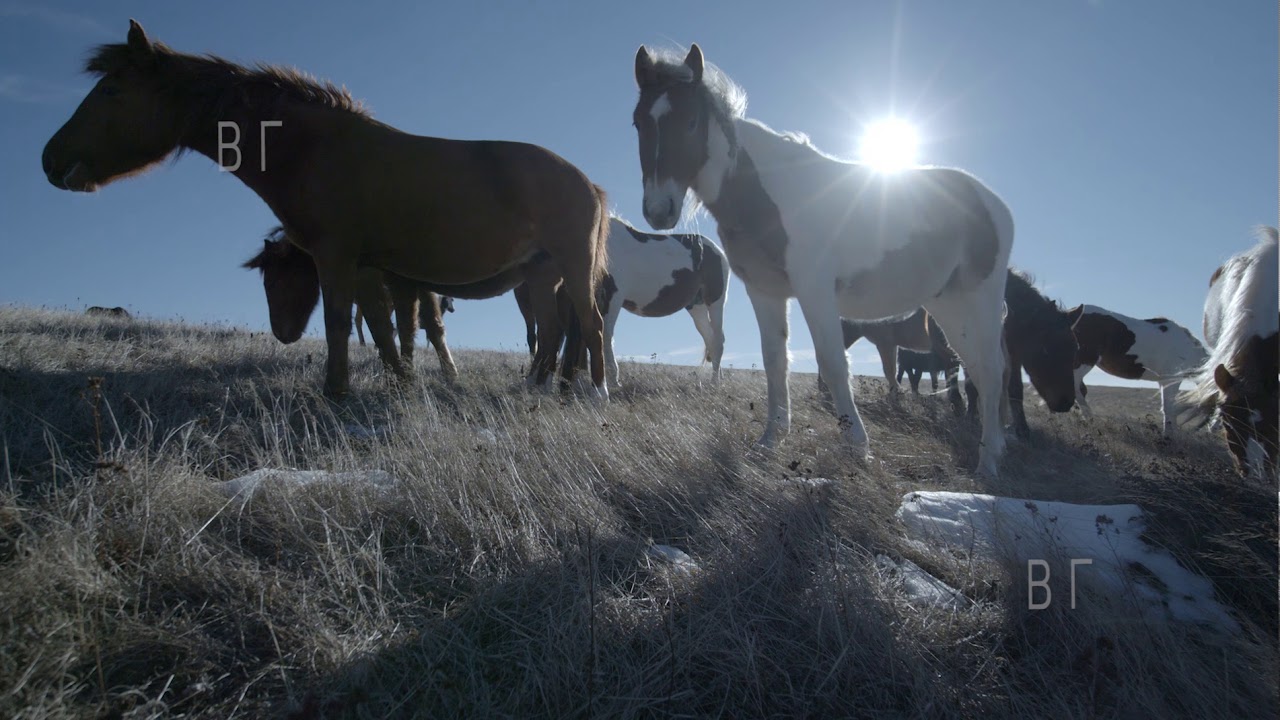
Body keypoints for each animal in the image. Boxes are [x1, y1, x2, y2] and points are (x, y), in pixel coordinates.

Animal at [634, 45, 1014, 476]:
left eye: (692, 121)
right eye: (638, 123)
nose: (659, 211)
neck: (765, 193)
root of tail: (991, 203)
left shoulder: (814, 291)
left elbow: (832, 362)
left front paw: (858, 446)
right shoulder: (765, 293)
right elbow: (775, 361)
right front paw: (770, 441)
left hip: (979, 302)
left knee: (990, 370)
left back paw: (988, 462)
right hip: (949, 308)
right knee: (981, 370)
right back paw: (996, 448)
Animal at [1072, 306, 1207, 434]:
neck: (1189, 349)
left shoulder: (1162, 381)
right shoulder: (1170, 380)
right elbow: (1169, 408)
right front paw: (1169, 436)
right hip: (1085, 361)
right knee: (1077, 388)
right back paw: (1090, 420)